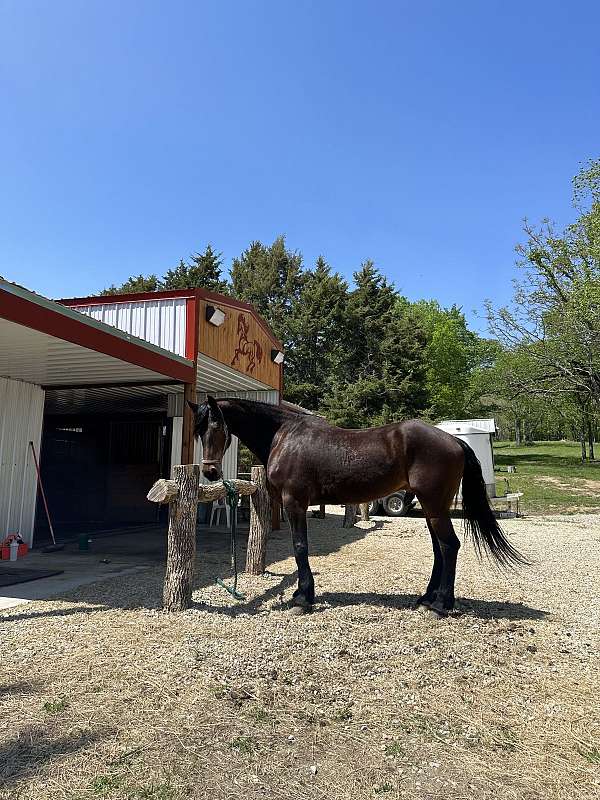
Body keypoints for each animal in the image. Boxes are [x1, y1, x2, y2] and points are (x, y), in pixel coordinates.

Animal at [190, 396, 524, 616]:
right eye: (199, 431)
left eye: (217, 427)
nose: (210, 472)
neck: (284, 437)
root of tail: (454, 441)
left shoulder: (294, 503)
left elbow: (300, 547)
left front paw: (302, 598)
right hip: (432, 508)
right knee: (439, 549)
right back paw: (427, 599)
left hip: (435, 505)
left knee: (450, 546)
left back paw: (441, 605)